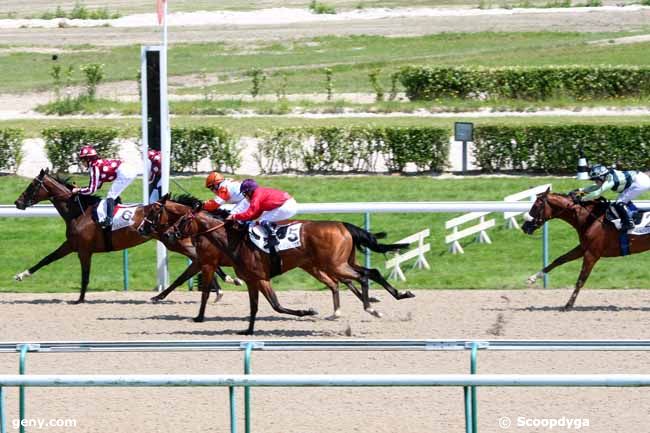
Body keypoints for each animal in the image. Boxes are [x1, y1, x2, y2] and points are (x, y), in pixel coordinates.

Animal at [13, 167, 233, 302]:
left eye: (32, 185)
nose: (17, 202)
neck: (79, 211)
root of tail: (185, 210)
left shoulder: (83, 249)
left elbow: (85, 274)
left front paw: (80, 299)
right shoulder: (72, 245)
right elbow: (46, 259)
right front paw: (21, 275)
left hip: (175, 241)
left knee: (197, 260)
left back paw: (220, 286)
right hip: (175, 241)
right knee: (198, 261)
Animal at [165, 206, 412, 334]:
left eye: (182, 220)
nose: (168, 234)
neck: (233, 240)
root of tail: (343, 225)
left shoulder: (259, 278)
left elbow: (276, 305)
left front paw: (307, 311)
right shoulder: (252, 280)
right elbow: (255, 307)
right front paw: (248, 331)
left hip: (335, 265)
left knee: (364, 276)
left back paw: (371, 307)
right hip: (340, 263)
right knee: (370, 273)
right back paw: (398, 295)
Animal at [520, 189, 648, 308]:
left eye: (536, 206)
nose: (524, 227)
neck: (591, 219)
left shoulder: (592, 254)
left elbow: (581, 280)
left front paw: (568, 305)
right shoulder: (583, 248)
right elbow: (559, 259)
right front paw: (533, 278)